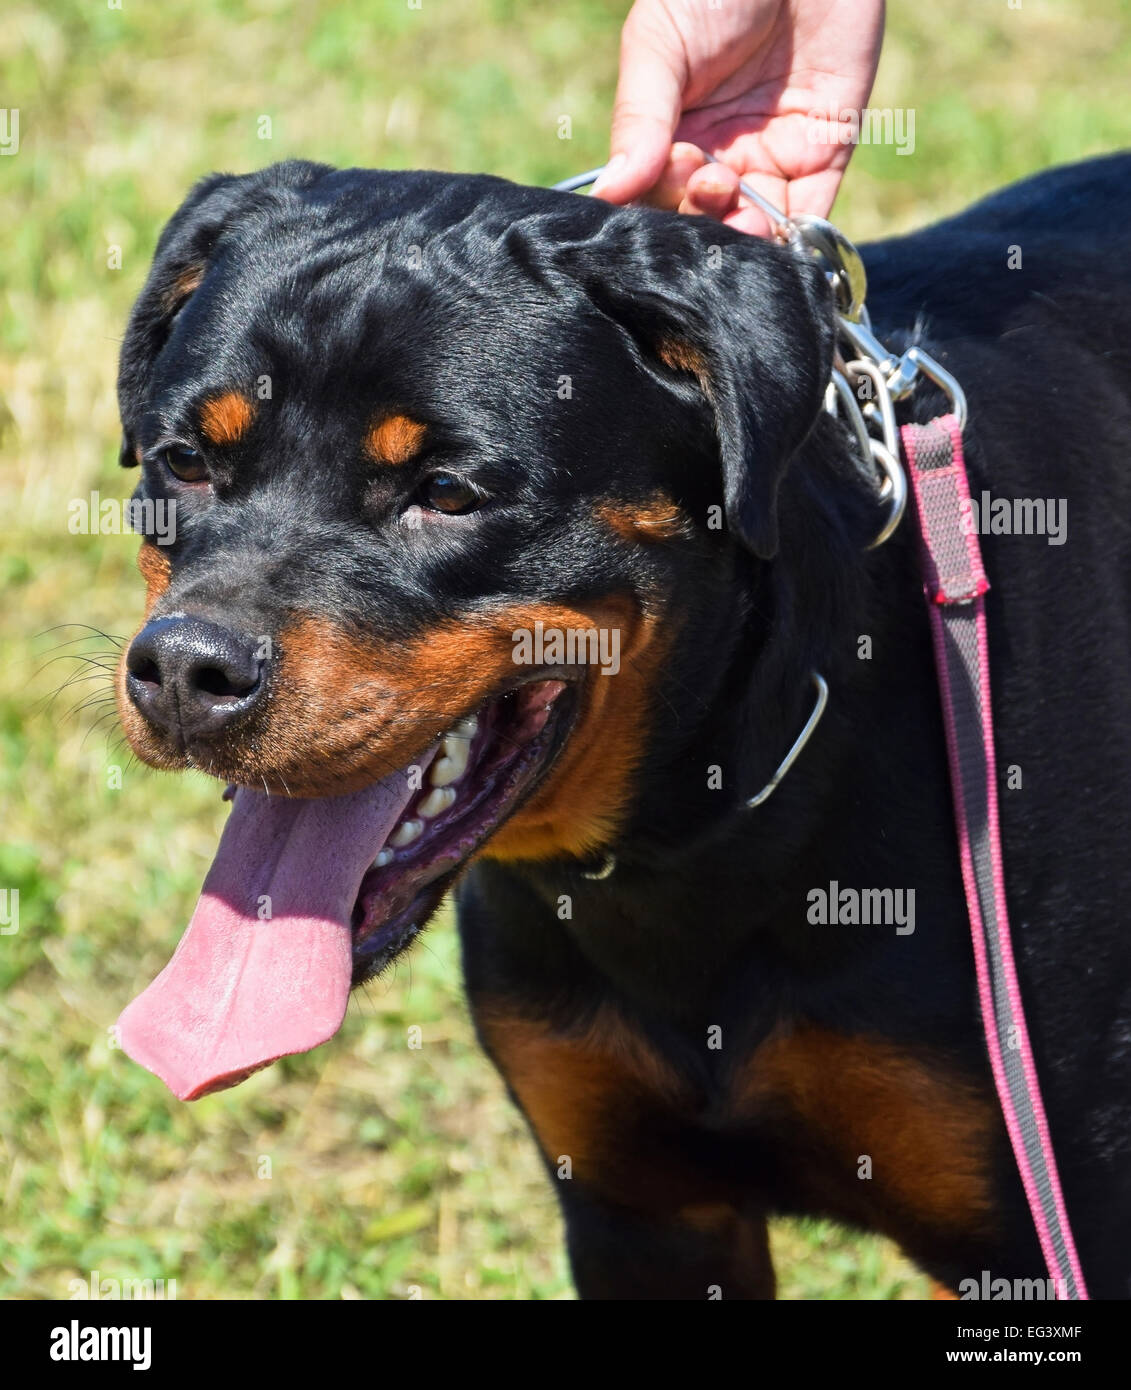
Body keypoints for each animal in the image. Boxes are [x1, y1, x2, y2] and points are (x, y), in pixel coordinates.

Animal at [110, 157, 1131, 1295]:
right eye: (184, 461)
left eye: (446, 491)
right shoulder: (637, 1212)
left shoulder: (1060, 1222)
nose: (186, 669)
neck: (691, 841)